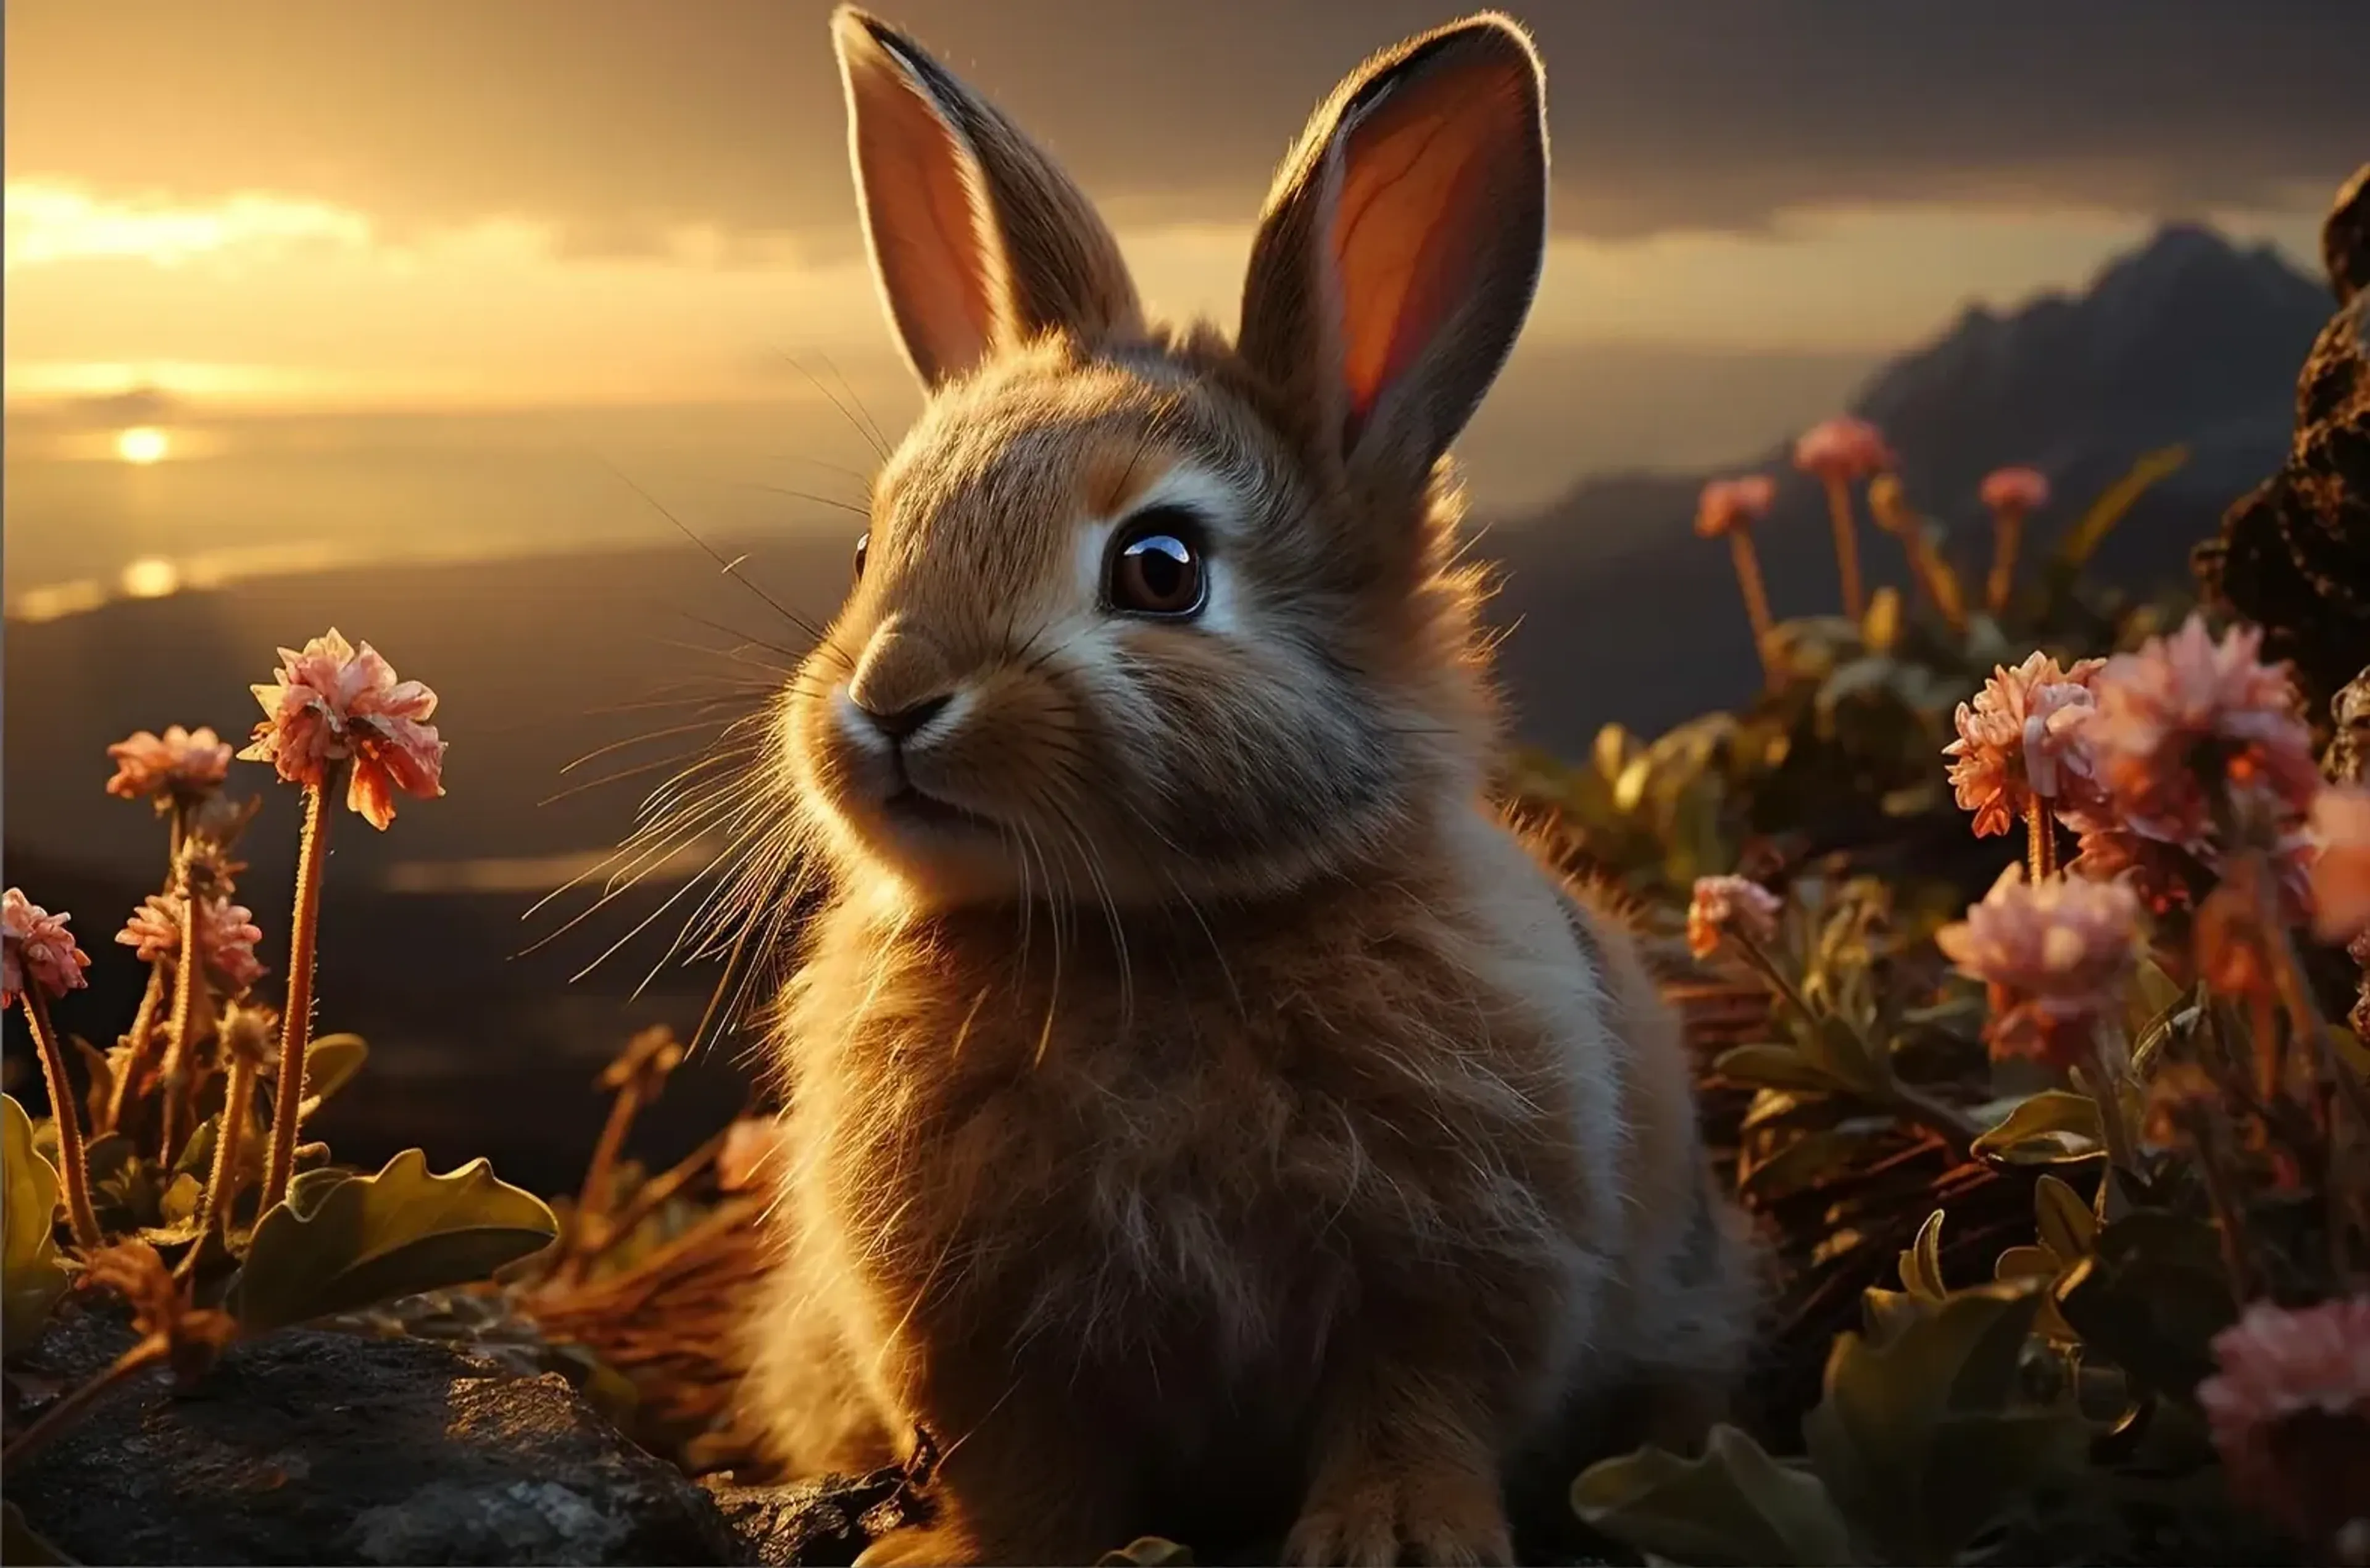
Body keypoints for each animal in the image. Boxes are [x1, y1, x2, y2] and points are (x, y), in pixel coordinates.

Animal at [733, 8, 1763, 1565]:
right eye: (870, 551)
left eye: (1160, 570)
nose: (893, 703)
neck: (1141, 933)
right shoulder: (979, 1344)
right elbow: (1026, 1470)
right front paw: (965, 1550)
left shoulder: (1451, 1277)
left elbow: (1413, 1405)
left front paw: (1395, 1537)